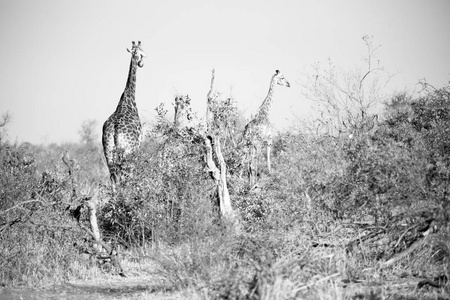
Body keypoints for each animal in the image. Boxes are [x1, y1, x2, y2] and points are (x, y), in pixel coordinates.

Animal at [102, 41, 146, 184]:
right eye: (142, 53)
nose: (141, 63)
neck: (127, 99)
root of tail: (115, 130)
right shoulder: (139, 145)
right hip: (128, 151)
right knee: (126, 175)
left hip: (108, 150)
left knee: (113, 177)